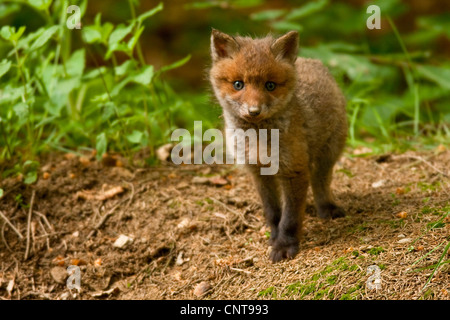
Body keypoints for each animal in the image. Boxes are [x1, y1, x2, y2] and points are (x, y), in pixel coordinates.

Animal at [208, 28, 348, 262]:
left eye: (270, 85)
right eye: (238, 84)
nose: (254, 111)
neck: (259, 140)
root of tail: (311, 61)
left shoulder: (294, 170)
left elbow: (290, 218)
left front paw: (285, 245)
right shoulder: (257, 171)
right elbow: (273, 212)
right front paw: (274, 237)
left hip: (327, 154)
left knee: (320, 183)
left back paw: (326, 209)